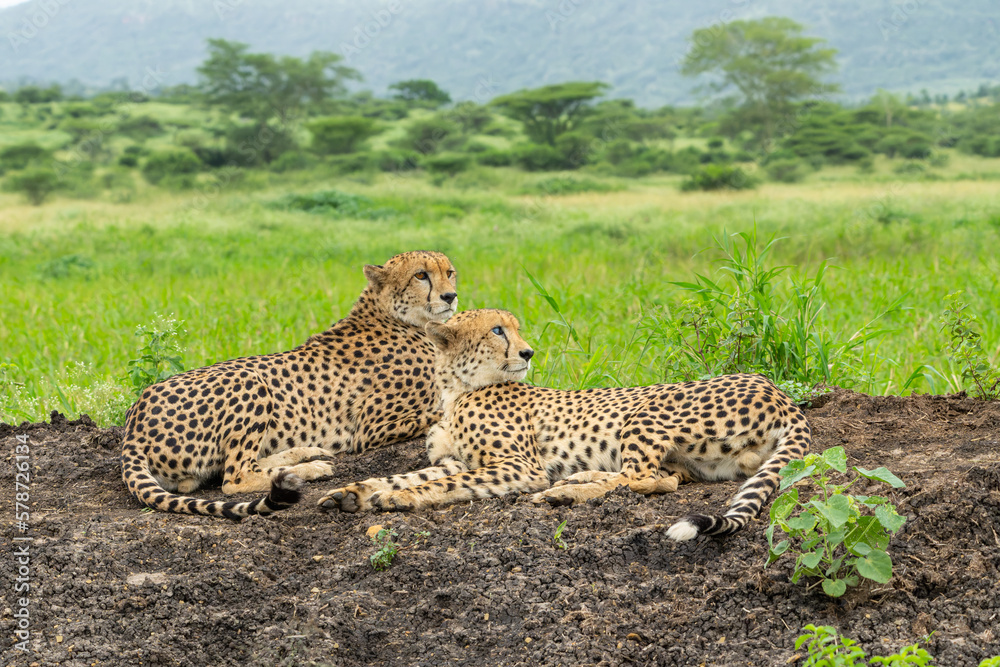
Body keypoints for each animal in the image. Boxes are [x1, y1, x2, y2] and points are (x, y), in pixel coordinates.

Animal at [121, 250, 458, 519]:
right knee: (235, 477)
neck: (395, 316)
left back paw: (303, 455)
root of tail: (135, 420)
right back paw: (310, 470)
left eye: (449, 272)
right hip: (249, 378)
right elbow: (439, 412)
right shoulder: (371, 430)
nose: (450, 296)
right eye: (421, 275)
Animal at [318, 308, 811, 540]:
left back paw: (566, 490)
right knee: (665, 478)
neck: (458, 389)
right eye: (497, 330)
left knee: (645, 478)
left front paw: (396, 499)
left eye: (515, 328)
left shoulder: (519, 467)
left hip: (644, 411)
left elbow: (433, 485)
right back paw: (577, 482)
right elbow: (404, 473)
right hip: (700, 458)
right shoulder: (454, 460)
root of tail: (777, 392)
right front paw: (350, 493)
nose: (528, 352)